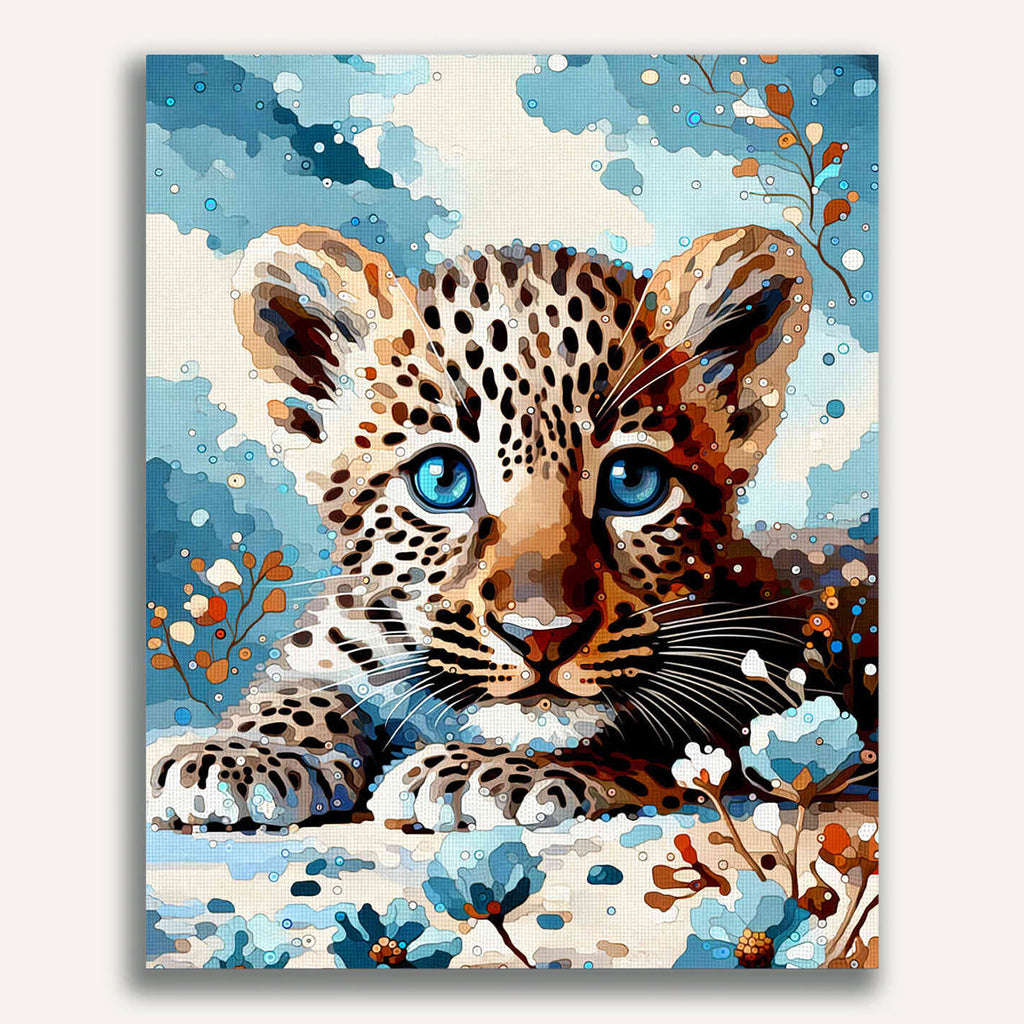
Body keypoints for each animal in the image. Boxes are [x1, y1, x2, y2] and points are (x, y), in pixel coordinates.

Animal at [149, 221, 866, 834]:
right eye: (442, 478)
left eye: (633, 480)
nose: (542, 637)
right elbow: (304, 683)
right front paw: (238, 753)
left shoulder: (766, 689)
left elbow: (642, 741)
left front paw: (477, 771)